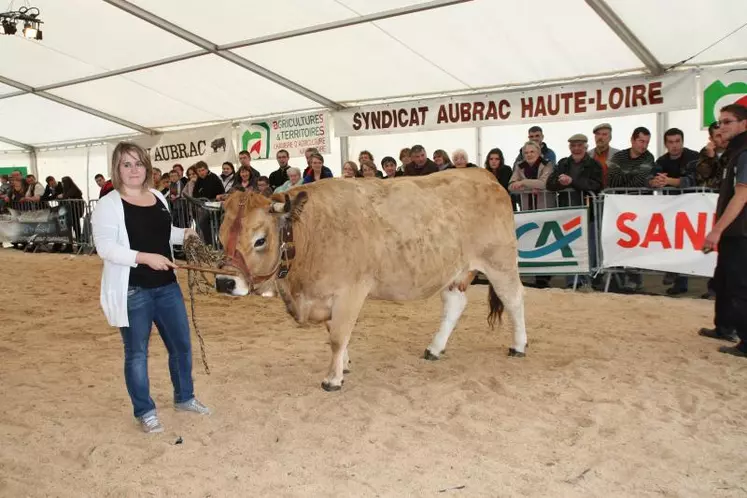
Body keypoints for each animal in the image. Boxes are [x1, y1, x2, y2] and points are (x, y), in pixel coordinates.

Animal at [215, 169, 524, 392]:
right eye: (219, 236)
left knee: (514, 300)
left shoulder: (350, 292)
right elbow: (334, 332)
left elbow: (338, 336)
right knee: (455, 304)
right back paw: (434, 348)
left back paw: (519, 346)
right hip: (453, 271)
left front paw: (332, 379)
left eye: (260, 240)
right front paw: (344, 365)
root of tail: (483, 174)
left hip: (500, 261)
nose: (224, 282)